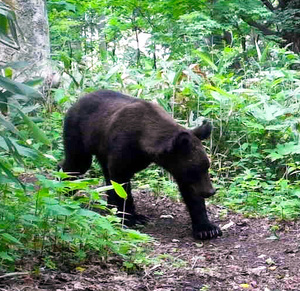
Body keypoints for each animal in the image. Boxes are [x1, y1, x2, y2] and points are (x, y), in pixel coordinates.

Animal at [61, 90, 220, 241]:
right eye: (195, 169)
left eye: (206, 166)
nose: (210, 191)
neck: (143, 142)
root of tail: (76, 102)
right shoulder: (122, 148)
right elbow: (121, 184)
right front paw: (131, 218)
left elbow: (190, 192)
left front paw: (207, 229)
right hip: (79, 134)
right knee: (77, 164)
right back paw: (66, 189)